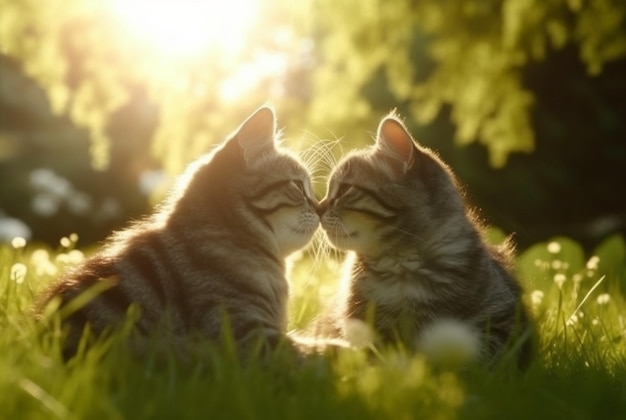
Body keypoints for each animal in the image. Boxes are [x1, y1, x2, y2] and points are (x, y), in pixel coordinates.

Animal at [316, 112, 532, 368]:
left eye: (344, 190)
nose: (317, 208)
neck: (401, 264)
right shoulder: (357, 325)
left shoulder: (505, 322)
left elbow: (483, 355)